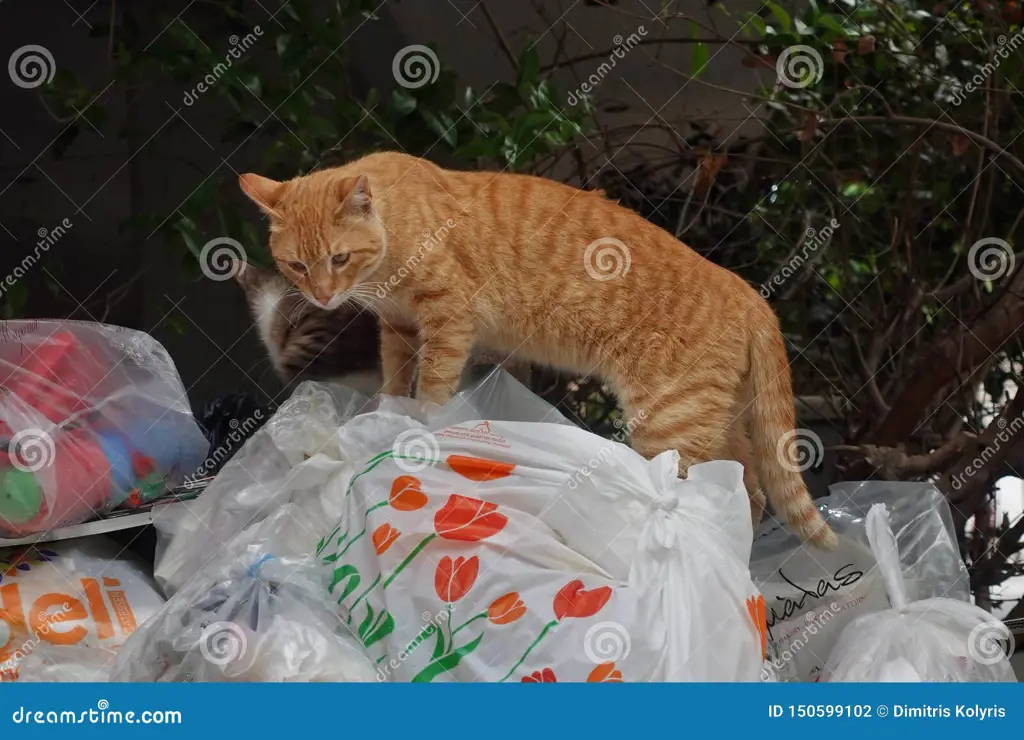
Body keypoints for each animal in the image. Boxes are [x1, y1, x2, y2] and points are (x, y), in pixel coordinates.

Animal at [241, 151, 839, 548]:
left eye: (338, 258)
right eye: (297, 265)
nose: (322, 295)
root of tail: (744, 288)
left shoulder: (449, 319)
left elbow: (432, 388)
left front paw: (420, 429)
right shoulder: (398, 328)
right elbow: (393, 379)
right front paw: (384, 417)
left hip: (671, 423)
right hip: (719, 421)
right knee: (749, 488)